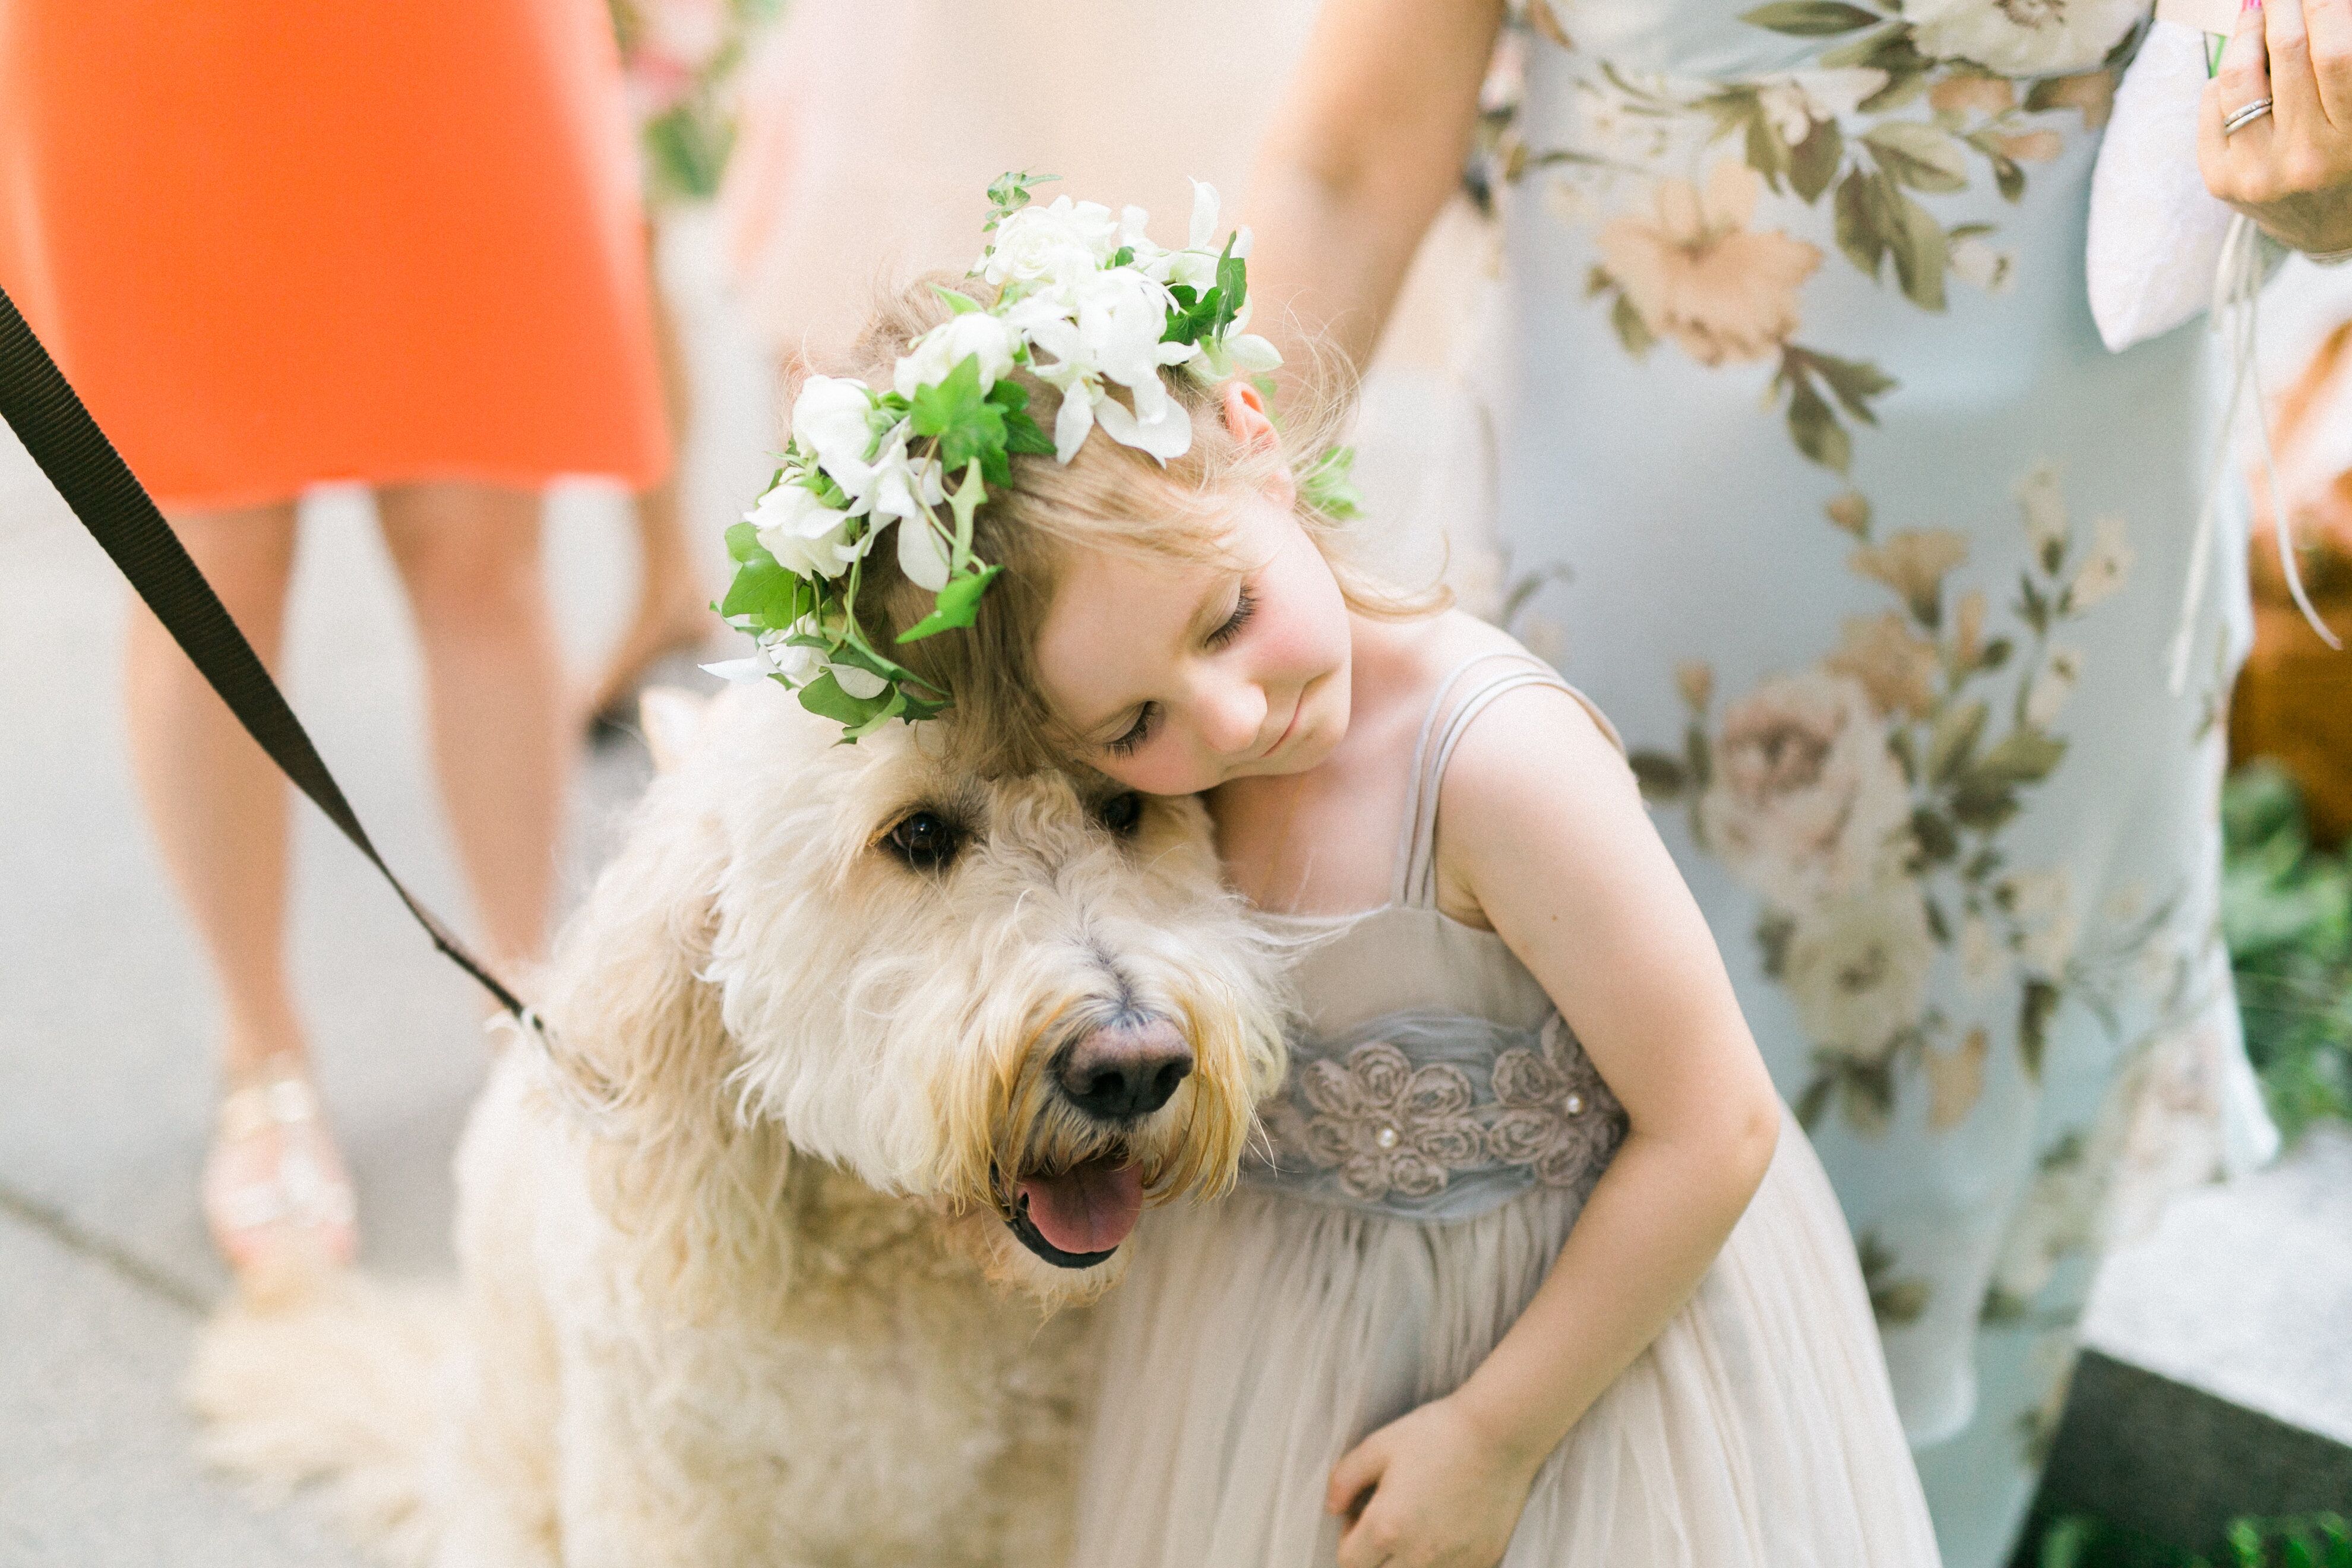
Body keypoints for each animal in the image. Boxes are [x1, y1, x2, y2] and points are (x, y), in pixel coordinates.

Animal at [183, 686, 1289, 1568]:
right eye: (918, 834)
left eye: (1125, 808)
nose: (1132, 1067)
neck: (901, 1278)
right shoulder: (668, 1514)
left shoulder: (1034, 1501)